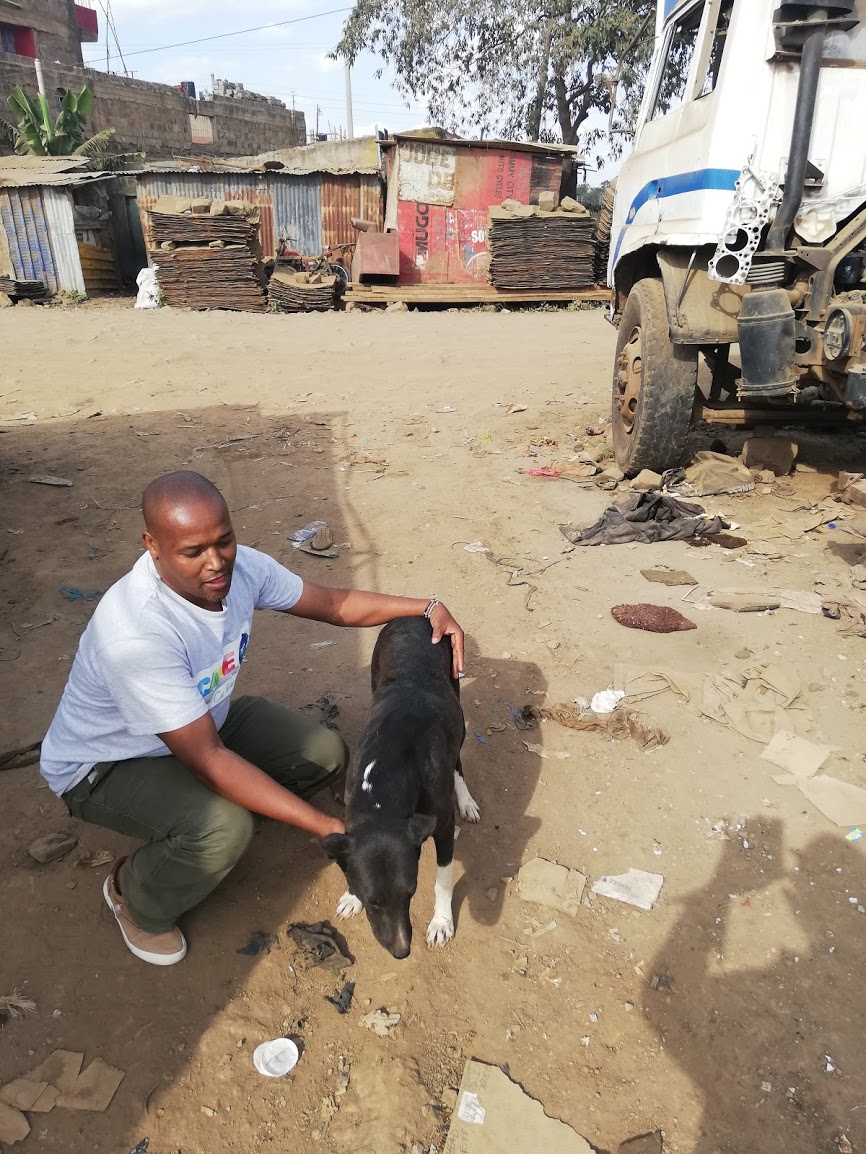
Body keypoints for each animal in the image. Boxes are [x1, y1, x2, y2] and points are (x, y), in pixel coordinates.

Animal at [318, 616, 481, 959]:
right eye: (372, 901)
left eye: (410, 893)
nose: (402, 951)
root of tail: (414, 615)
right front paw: (350, 896)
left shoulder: (443, 826)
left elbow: (443, 879)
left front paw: (441, 922)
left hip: (455, 698)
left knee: (458, 757)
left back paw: (466, 800)